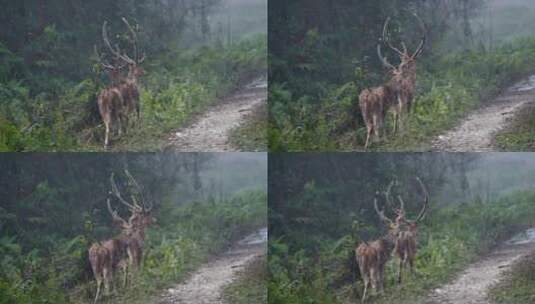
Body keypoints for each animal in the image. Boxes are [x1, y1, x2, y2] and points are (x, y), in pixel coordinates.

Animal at [88, 171, 155, 304]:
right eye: (147, 214)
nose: (155, 220)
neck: (139, 237)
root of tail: (98, 250)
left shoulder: (124, 262)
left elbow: (126, 273)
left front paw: (127, 288)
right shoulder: (135, 255)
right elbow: (136, 272)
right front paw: (137, 286)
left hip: (96, 266)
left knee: (100, 281)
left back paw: (102, 298)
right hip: (109, 264)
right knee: (107, 281)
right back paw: (113, 295)